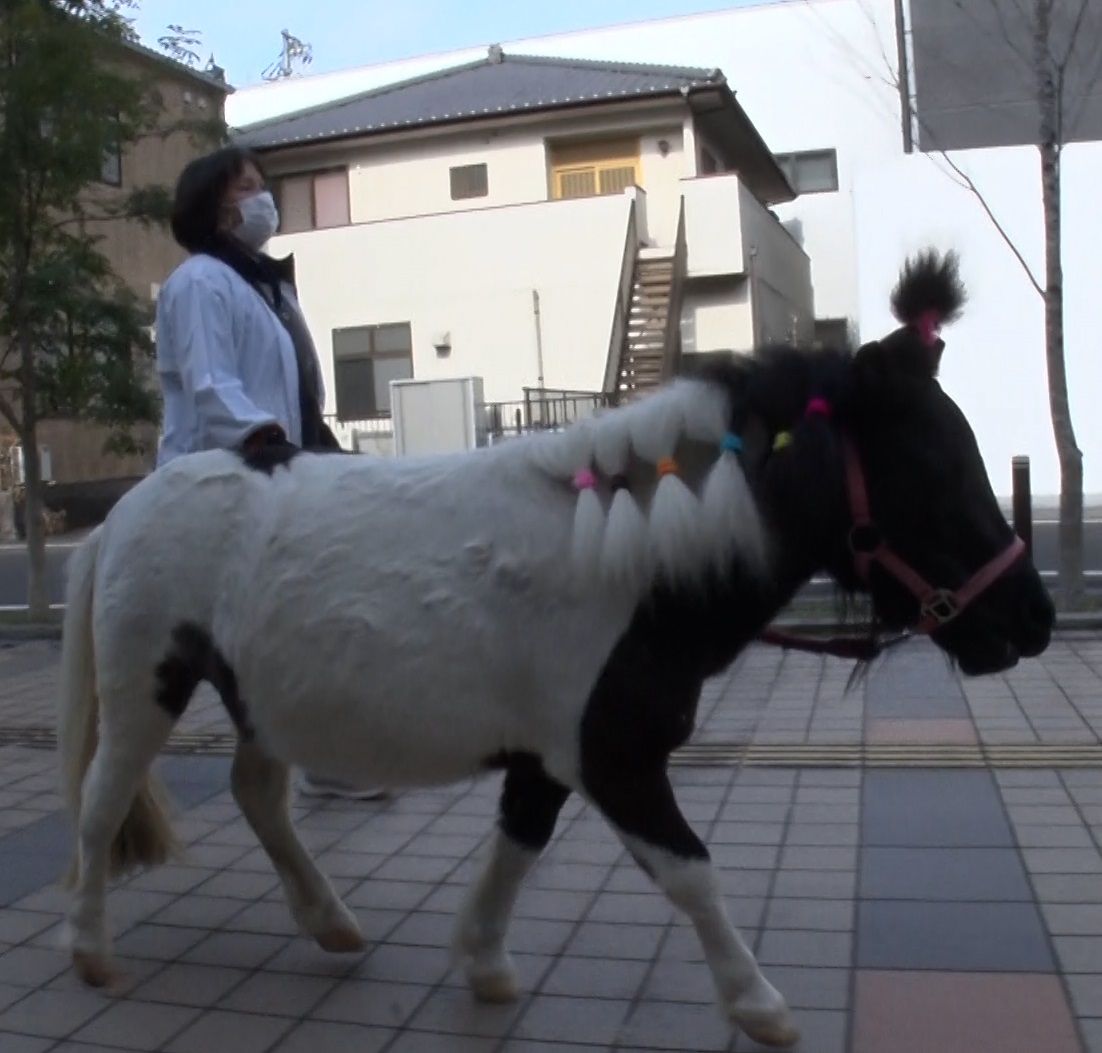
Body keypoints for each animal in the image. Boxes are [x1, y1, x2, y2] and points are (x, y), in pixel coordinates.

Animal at [58, 251, 1049, 1048]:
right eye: (931, 469)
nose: (1032, 619)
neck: (631, 564)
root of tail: (121, 511)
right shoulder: (612, 756)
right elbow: (690, 874)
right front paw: (759, 1002)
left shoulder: (548, 755)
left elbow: (518, 845)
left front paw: (484, 961)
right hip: (150, 683)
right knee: (103, 803)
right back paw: (92, 952)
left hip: (258, 693)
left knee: (257, 794)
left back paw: (331, 921)